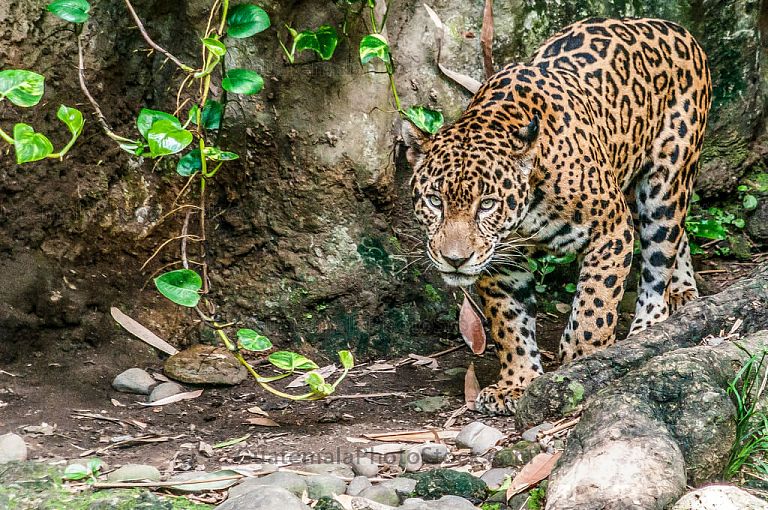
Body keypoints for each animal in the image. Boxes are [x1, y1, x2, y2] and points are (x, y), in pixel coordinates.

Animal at [402, 17, 712, 415]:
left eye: (486, 204)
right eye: (434, 201)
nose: (456, 260)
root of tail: (676, 28)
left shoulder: (612, 230)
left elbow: (596, 304)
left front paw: (583, 358)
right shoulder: (502, 263)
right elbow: (509, 323)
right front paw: (516, 382)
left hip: (666, 180)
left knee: (661, 252)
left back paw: (649, 326)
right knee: (680, 235)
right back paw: (683, 289)